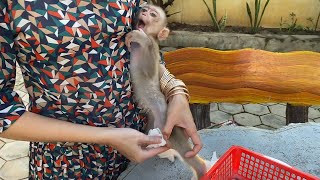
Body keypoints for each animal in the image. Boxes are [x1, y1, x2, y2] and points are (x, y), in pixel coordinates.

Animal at [125, 4, 208, 180]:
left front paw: (142, 39)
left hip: (165, 124)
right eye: (145, 8)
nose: (143, 10)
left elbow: (149, 69)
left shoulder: (153, 49)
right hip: (153, 121)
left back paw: (202, 168)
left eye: (152, 14)